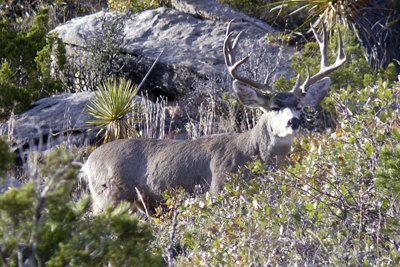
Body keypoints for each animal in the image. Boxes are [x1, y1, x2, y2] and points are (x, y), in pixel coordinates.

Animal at [82, 20, 346, 214]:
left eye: (300, 106)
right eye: (273, 107)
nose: (294, 122)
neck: (252, 154)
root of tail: (87, 164)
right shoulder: (219, 186)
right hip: (110, 197)